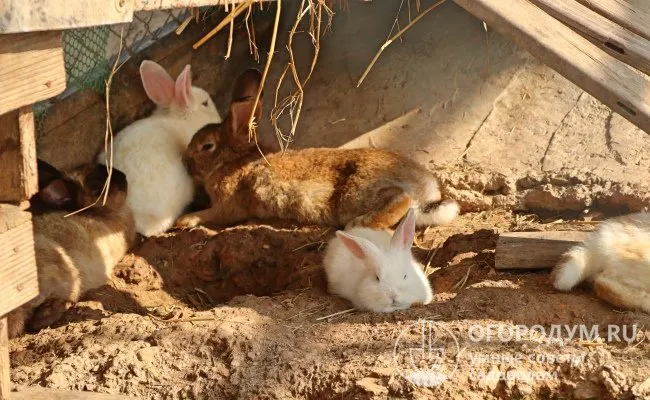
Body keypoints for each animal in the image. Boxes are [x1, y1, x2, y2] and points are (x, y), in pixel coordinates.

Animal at [176, 69, 456, 231]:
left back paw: (358, 224)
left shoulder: (229, 205)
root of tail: (427, 190)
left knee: (399, 199)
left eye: (206, 146)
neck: (234, 160)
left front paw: (185, 221)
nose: (185, 162)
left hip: (356, 194)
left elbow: (214, 214)